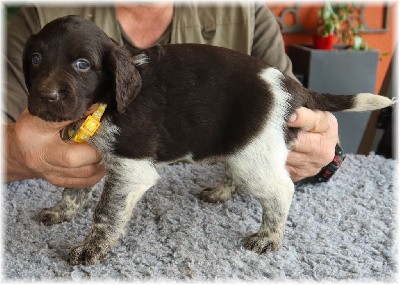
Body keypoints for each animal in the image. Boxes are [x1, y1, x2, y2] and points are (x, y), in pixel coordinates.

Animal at [22, 15, 394, 264]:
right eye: (36, 60)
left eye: (82, 64)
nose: (45, 96)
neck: (108, 101)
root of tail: (293, 88)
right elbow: (73, 189)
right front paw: (61, 211)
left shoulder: (130, 168)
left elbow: (105, 212)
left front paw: (91, 248)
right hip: (242, 147)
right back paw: (222, 192)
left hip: (254, 154)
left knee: (281, 191)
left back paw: (269, 237)